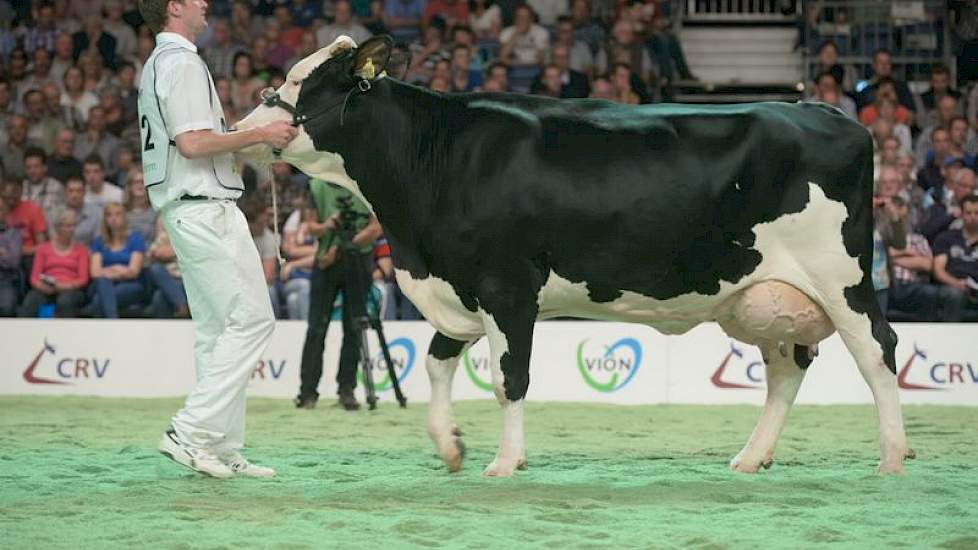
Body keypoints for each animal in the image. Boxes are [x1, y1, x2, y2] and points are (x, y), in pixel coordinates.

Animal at [236, 36, 916, 476]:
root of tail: (822, 110)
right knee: (786, 369)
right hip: (766, 295)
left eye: (299, 82)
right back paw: (752, 457)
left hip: (841, 277)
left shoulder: (507, 286)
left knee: (878, 352)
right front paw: (450, 445)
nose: (243, 129)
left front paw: (505, 462)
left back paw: (891, 457)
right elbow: (433, 364)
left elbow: (509, 379)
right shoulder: (459, 285)